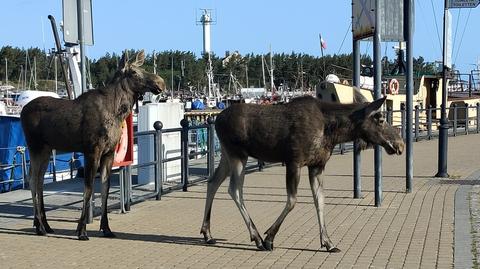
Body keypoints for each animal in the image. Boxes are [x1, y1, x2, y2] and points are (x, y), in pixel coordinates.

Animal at [21, 49, 166, 239]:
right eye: (134, 72)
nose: (160, 82)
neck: (116, 111)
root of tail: (22, 111)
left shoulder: (109, 153)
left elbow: (105, 188)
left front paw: (106, 228)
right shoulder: (92, 150)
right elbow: (89, 188)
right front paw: (81, 230)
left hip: (46, 149)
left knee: (39, 181)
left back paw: (45, 224)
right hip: (35, 146)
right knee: (32, 179)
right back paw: (39, 227)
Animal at [201, 95, 404, 250]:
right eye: (380, 119)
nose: (400, 144)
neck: (333, 132)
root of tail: (216, 120)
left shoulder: (317, 166)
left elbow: (320, 201)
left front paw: (328, 242)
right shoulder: (294, 162)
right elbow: (292, 200)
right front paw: (269, 238)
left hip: (226, 155)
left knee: (213, 181)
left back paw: (207, 233)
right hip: (237, 155)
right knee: (234, 189)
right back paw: (256, 237)